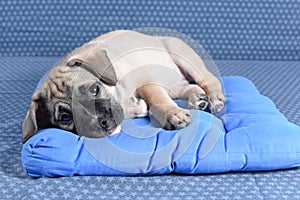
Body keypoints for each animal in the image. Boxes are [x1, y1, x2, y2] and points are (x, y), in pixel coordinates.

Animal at [22, 29, 225, 143]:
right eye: (65, 118)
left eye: (94, 89)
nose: (102, 123)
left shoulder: (145, 81)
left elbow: (157, 99)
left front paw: (171, 113)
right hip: (174, 83)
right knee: (187, 87)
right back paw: (197, 98)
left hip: (180, 52)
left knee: (208, 80)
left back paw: (214, 98)